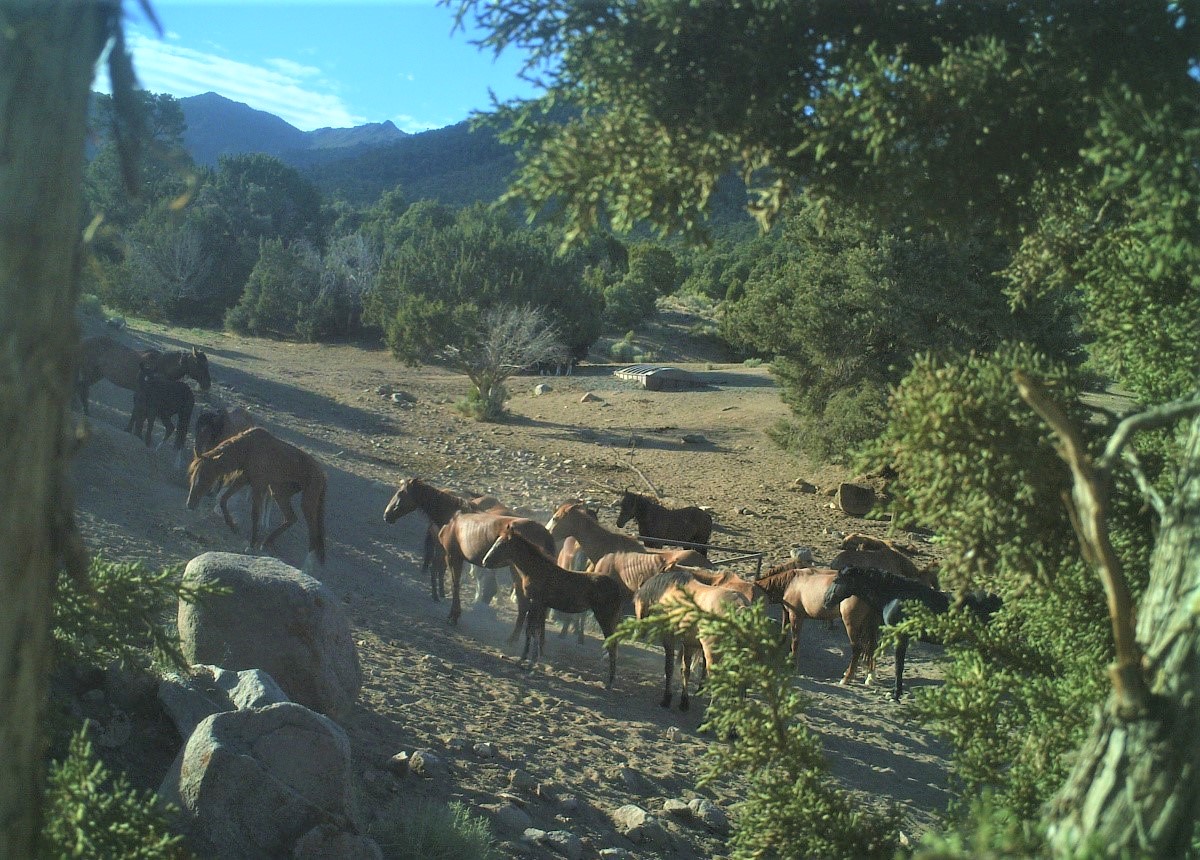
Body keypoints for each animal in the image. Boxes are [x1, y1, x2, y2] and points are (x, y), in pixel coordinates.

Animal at [77, 335, 211, 415]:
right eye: (200, 365)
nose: (207, 385)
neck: (162, 366)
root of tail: (83, 342)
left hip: (97, 374)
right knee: (82, 388)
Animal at [183, 427, 326, 573]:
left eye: (206, 476)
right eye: (193, 474)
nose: (190, 504)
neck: (249, 448)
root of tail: (322, 475)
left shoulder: (258, 485)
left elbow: (255, 515)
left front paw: (251, 545)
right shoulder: (244, 478)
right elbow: (223, 500)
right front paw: (233, 526)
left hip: (307, 502)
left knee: (313, 533)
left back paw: (307, 566)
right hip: (279, 492)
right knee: (291, 518)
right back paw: (266, 543)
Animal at [482, 520, 624, 686]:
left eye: (501, 544)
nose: (485, 561)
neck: (536, 570)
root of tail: (617, 587)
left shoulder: (536, 602)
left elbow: (532, 631)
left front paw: (528, 662)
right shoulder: (538, 604)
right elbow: (533, 631)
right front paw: (527, 661)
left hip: (604, 617)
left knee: (612, 646)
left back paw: (609, 683)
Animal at [633, 566, 744, 710]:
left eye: (636, 602)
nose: (638, 632)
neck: (667, 592)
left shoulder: (669, 638)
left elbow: (669, 667)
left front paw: (667, 699)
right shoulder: (689, 644)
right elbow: (685, 671)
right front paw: (684, 702)